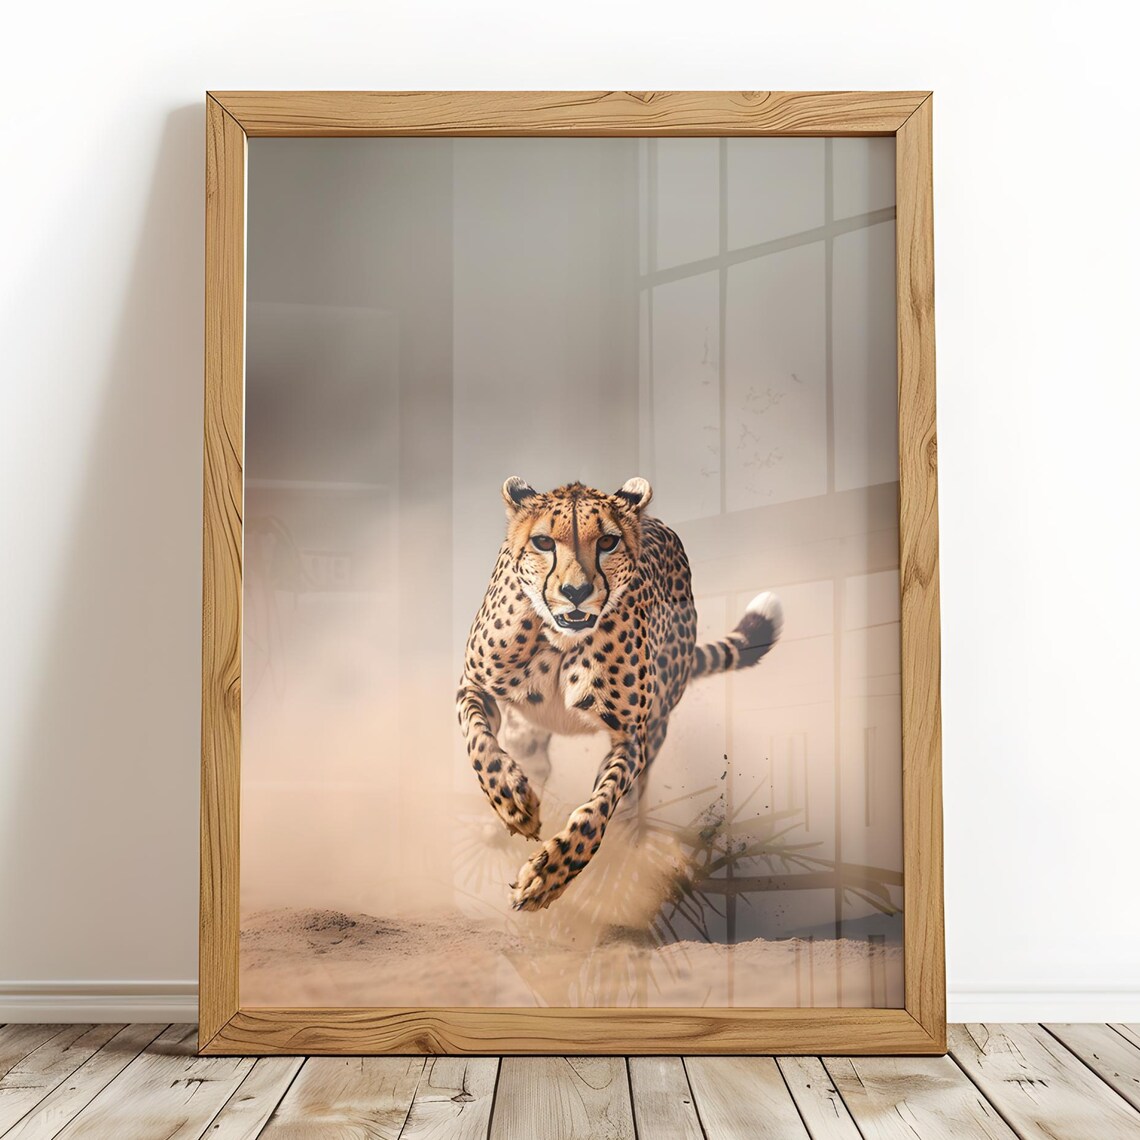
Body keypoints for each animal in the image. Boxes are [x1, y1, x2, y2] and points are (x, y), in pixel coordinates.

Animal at [457, 476, 783, 912]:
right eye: (543, 542)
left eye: (608, 542)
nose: (576, 591)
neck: (560, 638)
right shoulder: (474, 686)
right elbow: (482, 746)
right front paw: (512, 800)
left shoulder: (630, 738)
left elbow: (597, 809)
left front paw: (550, 873)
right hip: (527, 729)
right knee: (534, 759)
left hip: (658, 722)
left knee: (627, 807)